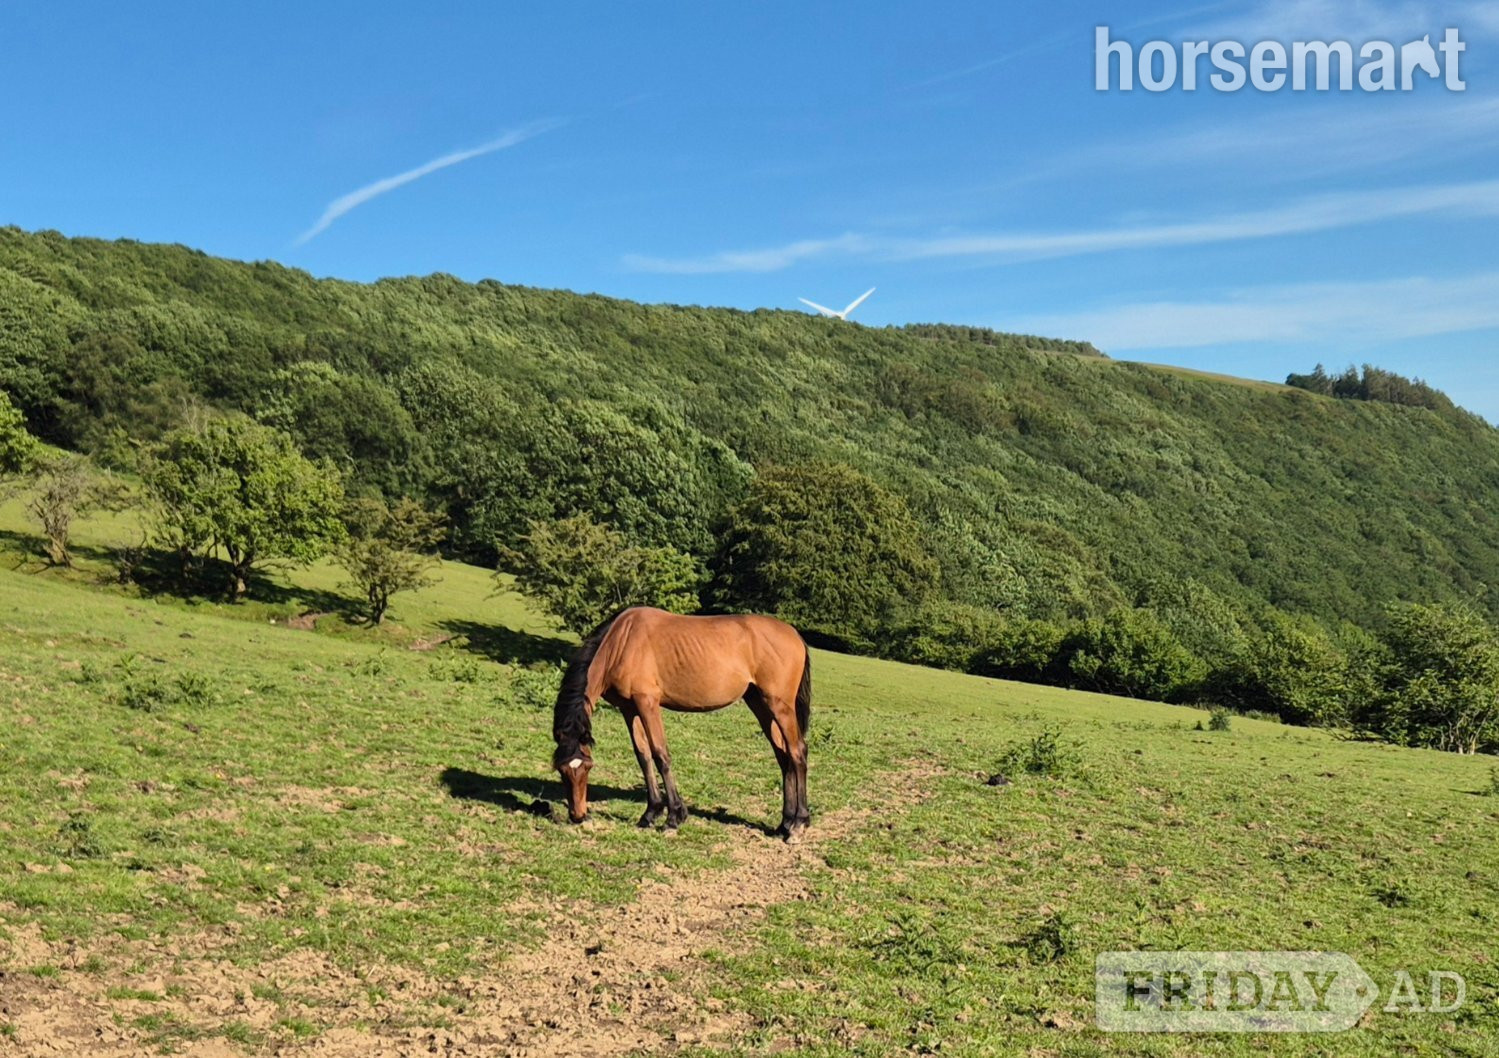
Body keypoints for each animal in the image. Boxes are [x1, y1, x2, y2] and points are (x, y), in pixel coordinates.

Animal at [552, 607, 812, 840]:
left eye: (587, 767)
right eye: (562, 770)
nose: (578, 815)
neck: (620, 643)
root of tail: (795, 635)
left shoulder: (647, 703)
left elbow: (660, 755)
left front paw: (674, 817)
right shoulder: (629, 709)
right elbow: (643, 757)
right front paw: (650, 813)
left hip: (780, 706)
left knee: (797, 752)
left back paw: (798, 824)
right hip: (760, 703)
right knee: (783, 756)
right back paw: (784, 824)